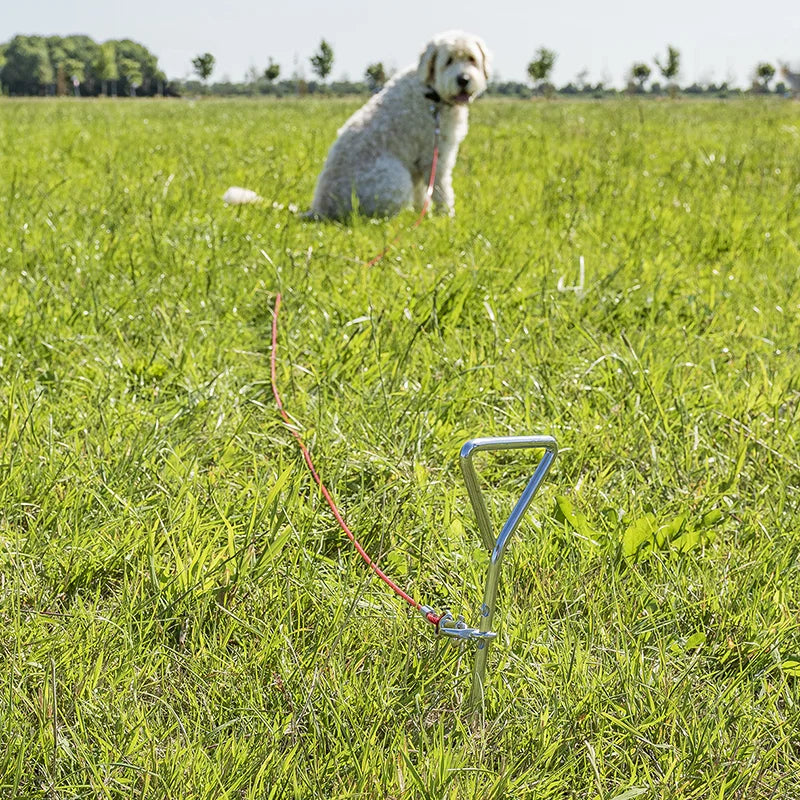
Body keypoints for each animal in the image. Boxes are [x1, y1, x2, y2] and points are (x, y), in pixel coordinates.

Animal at [308, 30, 490, 219]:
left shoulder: (419, 161)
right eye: (448, 61)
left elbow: (421, 192)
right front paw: (446, 215)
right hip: (394, 176)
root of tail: (321, 208)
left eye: (471, 59)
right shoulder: (434, 156)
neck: (432, 93)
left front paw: (424, 212)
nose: (463, 79)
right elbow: (441, 189)